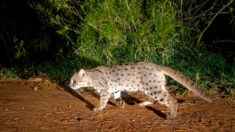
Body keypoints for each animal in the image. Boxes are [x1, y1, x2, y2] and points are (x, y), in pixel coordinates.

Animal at [69, 62, 213, 118]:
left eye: (74, 81)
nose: (70, 86)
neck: (92, 76)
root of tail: (156, 66)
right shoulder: (115, 89)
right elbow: (118, 97)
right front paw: (122, 105)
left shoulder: (104, 90)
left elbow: (103, 102)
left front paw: (98, 109)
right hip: (152, 87)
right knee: (155, 100)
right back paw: (143, 104)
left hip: (153, 88)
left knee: (171, 100)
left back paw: (171, 115)